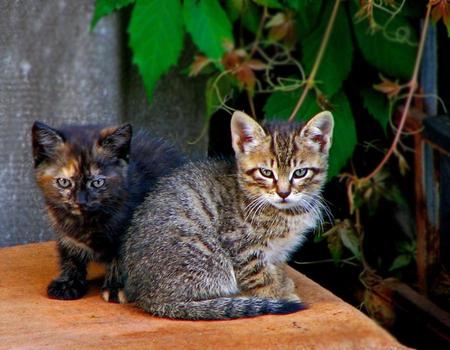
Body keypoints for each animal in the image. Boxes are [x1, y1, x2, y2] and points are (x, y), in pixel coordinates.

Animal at [31, 121, 184, 302]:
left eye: (97, 183)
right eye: (64, 182)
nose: (80, 201)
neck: (87, 221)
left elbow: (120, 258)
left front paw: (115, 287)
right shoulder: (63, 231)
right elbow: (69, 254)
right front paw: (68, 283)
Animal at [123, 110, 334, 320]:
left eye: (300, 173)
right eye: (266, 172)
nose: (283, 193)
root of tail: (148, 299)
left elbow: (274, 266)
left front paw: (282, 282)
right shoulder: (242, 246)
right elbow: (260, 276)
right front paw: (277, 293)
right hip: (211, 261)